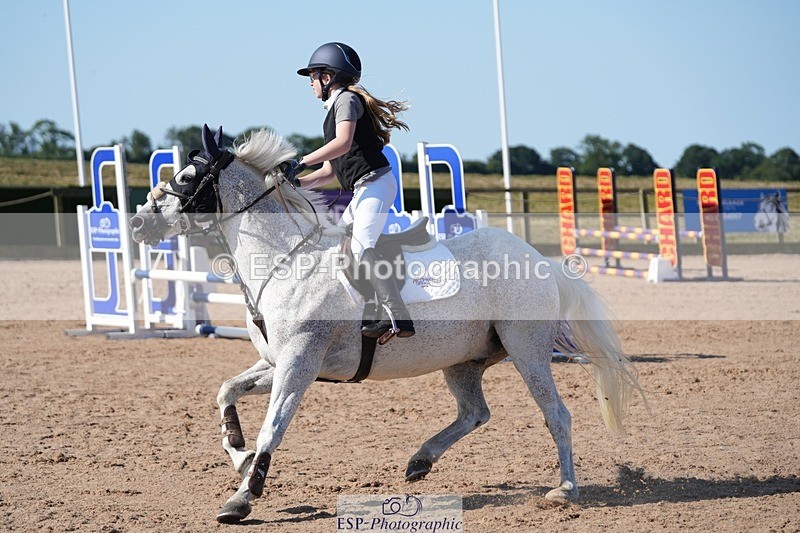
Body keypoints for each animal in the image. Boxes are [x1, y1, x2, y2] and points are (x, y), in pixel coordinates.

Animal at [130, 124, 643, 524]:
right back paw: (420, 461)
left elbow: (272, 428)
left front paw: (241, 497)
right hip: (464, 360)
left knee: (555, 413)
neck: (285, 261)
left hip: (526, 350)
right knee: (475, 412)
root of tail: (540, 260)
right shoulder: (277, 363)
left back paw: (565, 489)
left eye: (186, 178)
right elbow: (226, 391)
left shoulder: (299, 364)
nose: (136, 225)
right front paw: (239, 457)